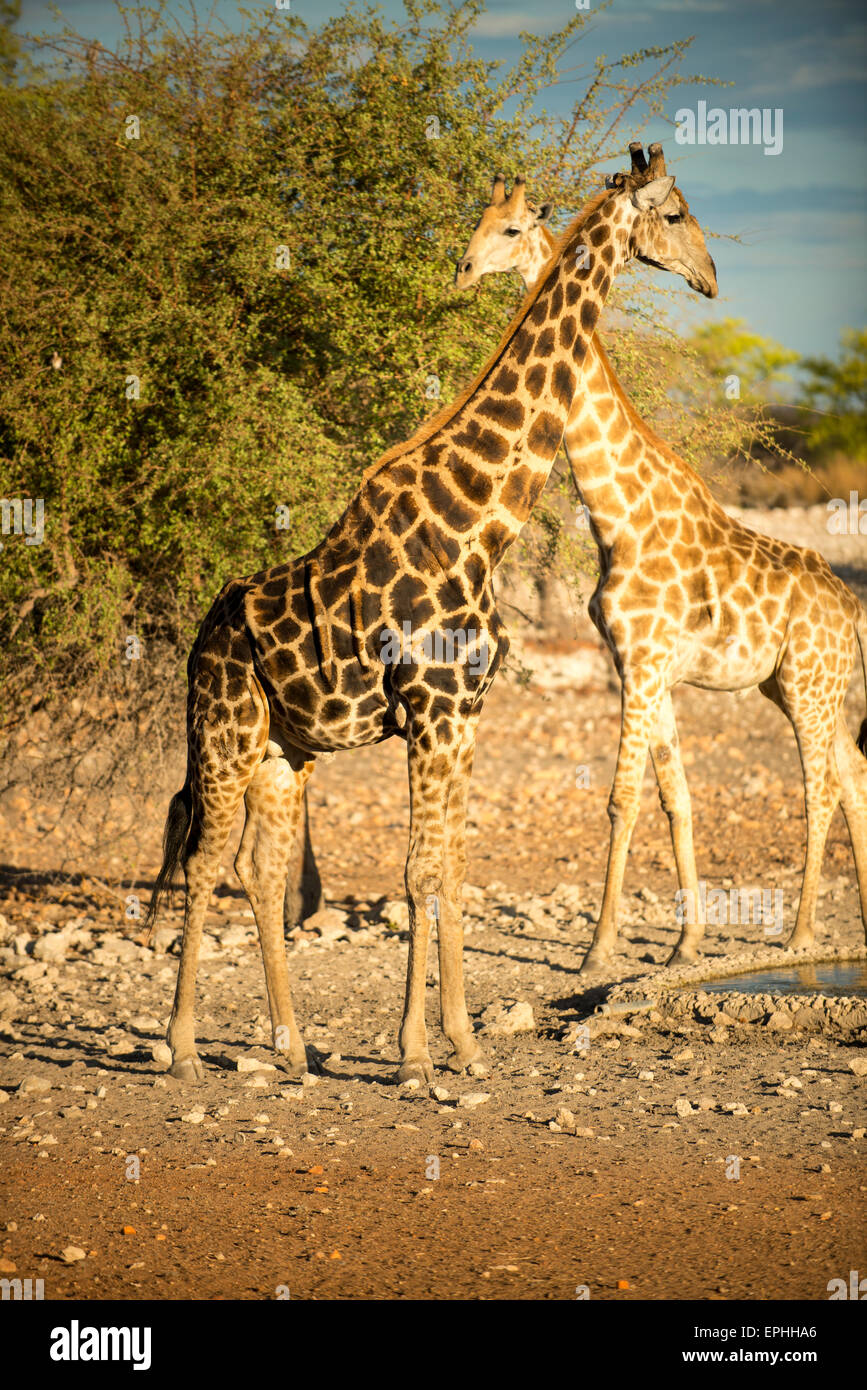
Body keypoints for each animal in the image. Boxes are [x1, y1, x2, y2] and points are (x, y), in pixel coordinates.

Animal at [145, 146, 716, 1078]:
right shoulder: (431, 709)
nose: (709, 276)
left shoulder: (464, 712)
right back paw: (184, 1048)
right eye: (673, 214)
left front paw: (463, 1044)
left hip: (285, 747)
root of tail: (203, 632)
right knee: (201, 862)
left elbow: (449, 865)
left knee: (258, 870)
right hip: (224, 730)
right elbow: (418, 873)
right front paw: (417, 1053)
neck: (478, 520)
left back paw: (292, 1048)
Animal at [452, 141, 867, 967]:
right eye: (481, 221)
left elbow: (621, 799)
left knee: (820, 788)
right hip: (801, 687)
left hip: (808, 687)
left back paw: (802, 933)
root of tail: (854, 611)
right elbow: (675, 795)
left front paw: (598, 948)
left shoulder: (642, 665)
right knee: (854, 774)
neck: (618, 517)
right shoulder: (641, 668)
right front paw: (685, 943)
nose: (709, 276)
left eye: (511, 228)